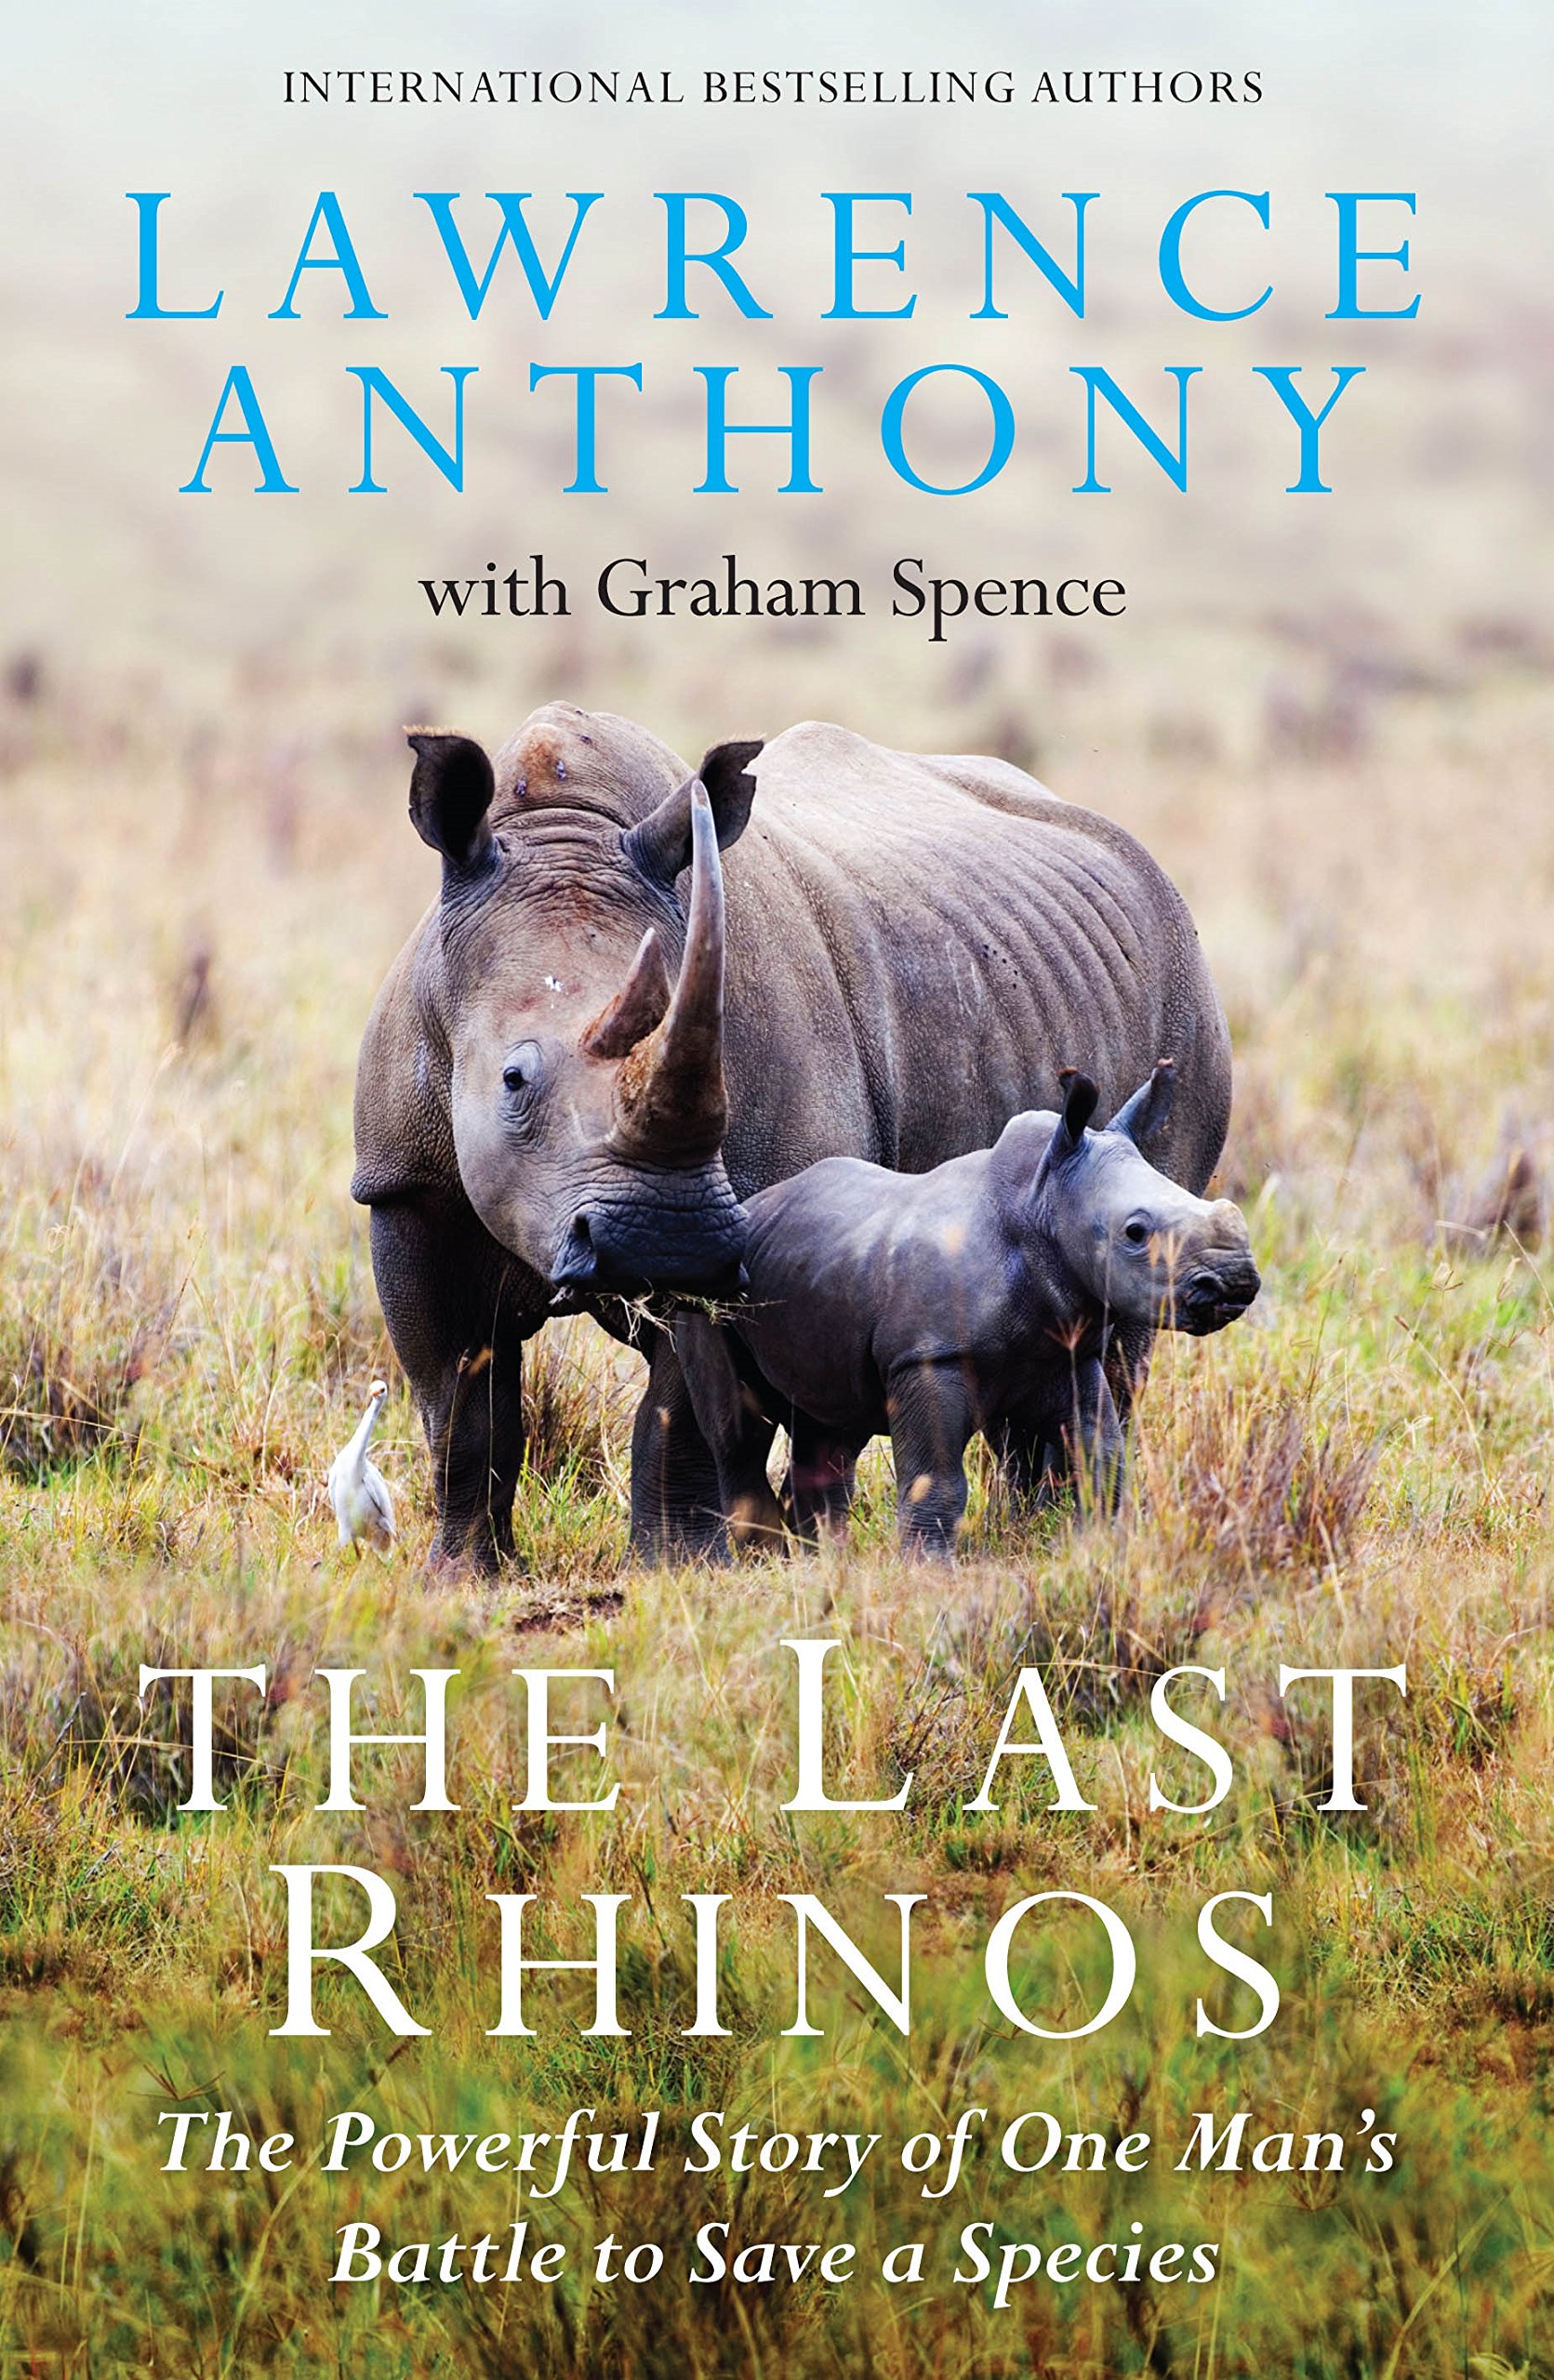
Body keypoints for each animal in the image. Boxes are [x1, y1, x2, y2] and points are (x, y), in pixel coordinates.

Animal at [675, 1063, 1261, 1558]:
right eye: (1135, 1233)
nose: (1237, 1280)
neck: (1041, 1204)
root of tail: (749, 1209)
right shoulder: (928, 1357)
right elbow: (937, 1479)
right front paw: (928, 1572)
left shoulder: (1066, 1350)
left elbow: (1101, 1455)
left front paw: (1100, 1547)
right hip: (712, 1295)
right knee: (738, 1430)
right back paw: (764, 1560)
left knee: (831, 1430)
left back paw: (823, 1562)